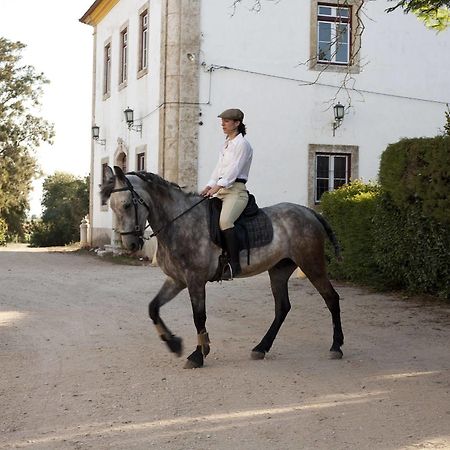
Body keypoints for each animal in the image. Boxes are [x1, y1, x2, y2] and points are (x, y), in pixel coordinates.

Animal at [100, 165, 342, 370]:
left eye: (127, 204)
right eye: (111, 206)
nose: (130, 244)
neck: (179, 222)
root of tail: (308, 212)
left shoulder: (195, 280)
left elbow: (199, 317)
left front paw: (198, 355)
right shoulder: (176, 280)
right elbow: (153, 308)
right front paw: (174, 343)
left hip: (312, 264)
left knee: (331, 298)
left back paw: (336, 346)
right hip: (279, 271)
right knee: (282, 308)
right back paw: (261, 348)